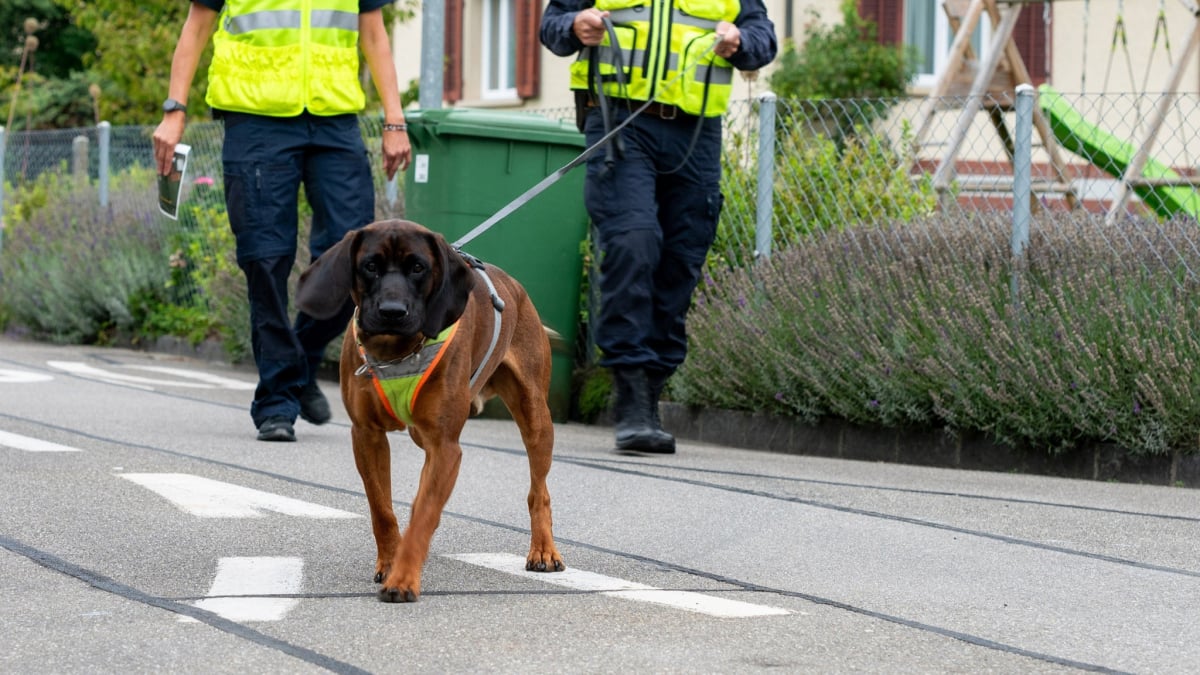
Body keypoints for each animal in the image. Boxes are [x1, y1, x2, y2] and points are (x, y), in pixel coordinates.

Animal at [297, 218, 564, 600]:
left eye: (418, 267)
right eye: (370, 265)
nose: (393, 312)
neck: (396, 350)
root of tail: (515, 287)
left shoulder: (445, 445)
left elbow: (423, 512)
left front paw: (404, 577)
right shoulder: (367, 436)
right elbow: (382, 509)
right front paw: (391, 561)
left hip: (535, 415)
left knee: (538, 490)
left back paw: (543, 549)